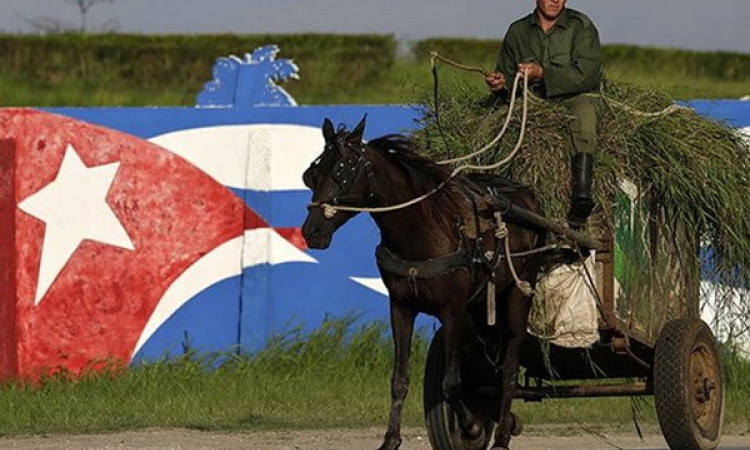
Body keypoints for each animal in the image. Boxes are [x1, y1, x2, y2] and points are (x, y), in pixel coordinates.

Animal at [302, 117, 548, 450]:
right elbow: (399, 379)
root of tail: (528, 197)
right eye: (312, 175)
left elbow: (452, 384)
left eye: (343, 173)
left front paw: (471, 427)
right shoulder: (401, 307)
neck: (422, 232)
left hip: (518, 294)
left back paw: (502, 435)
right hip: (481, 309)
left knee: (509, 364)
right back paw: (504, 417)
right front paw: (391, 439)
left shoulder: (453, 310)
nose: (311, 232)